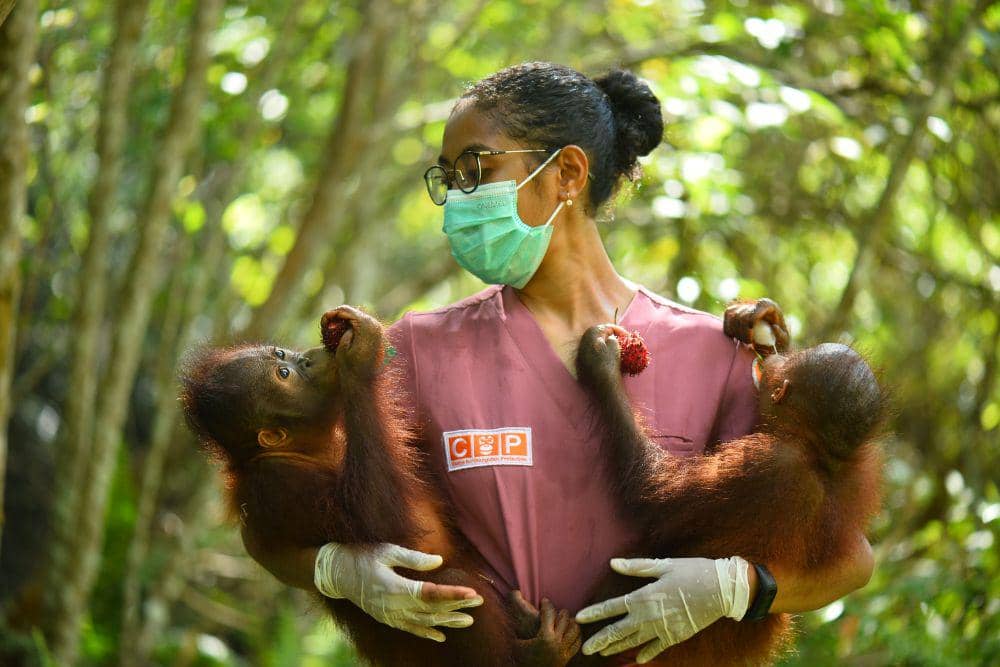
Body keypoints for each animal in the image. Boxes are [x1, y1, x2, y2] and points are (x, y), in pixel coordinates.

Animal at [178, 305, 581, 666]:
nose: (305, 359)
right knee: (454, 587)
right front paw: (361, 357)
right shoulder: (278, 482)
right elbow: (377, 521)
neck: (314, 447)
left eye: (281, 355)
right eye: (284, 373)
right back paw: (535, 655)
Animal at [569, 312, 886, 666]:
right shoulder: (865, 466)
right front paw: (758, 320)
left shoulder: (766, 464)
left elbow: (653, 494)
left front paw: (601, 362)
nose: (776, 359)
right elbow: (862, 560)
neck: (817, 454)